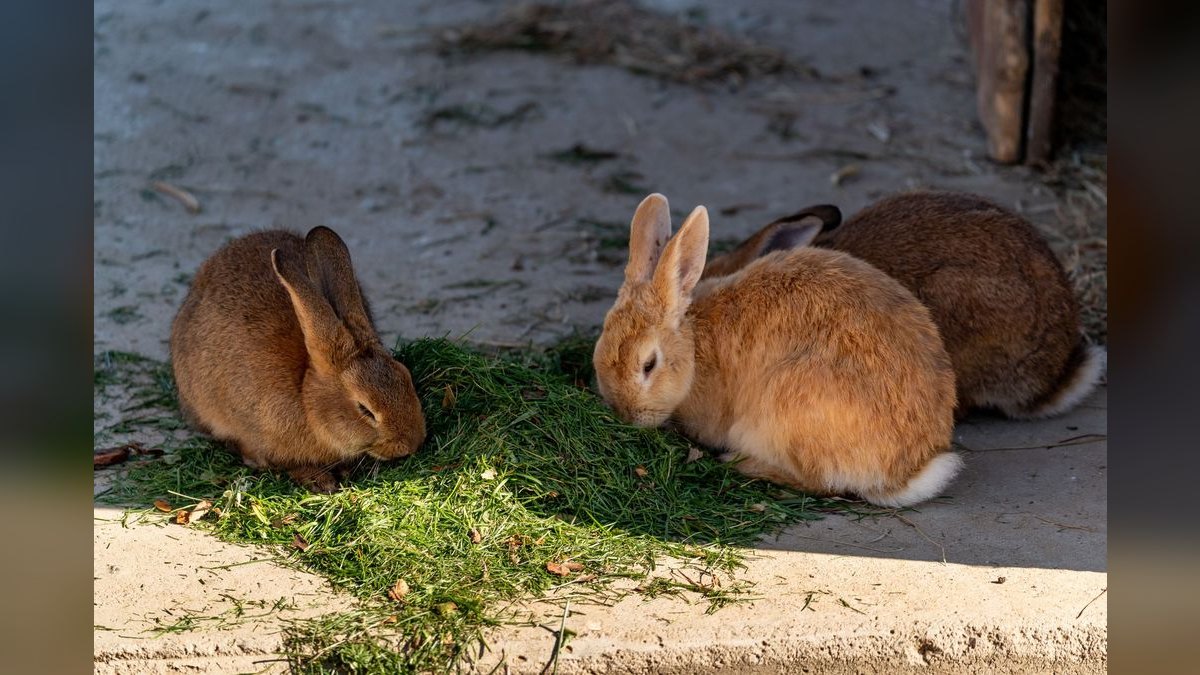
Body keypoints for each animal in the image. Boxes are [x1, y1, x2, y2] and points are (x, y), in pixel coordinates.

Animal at [593, 194, 961, 507]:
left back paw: (739, 463)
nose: (627, 415)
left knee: (819, 483)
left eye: (649, 365)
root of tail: (903, 473)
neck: (694, 347)